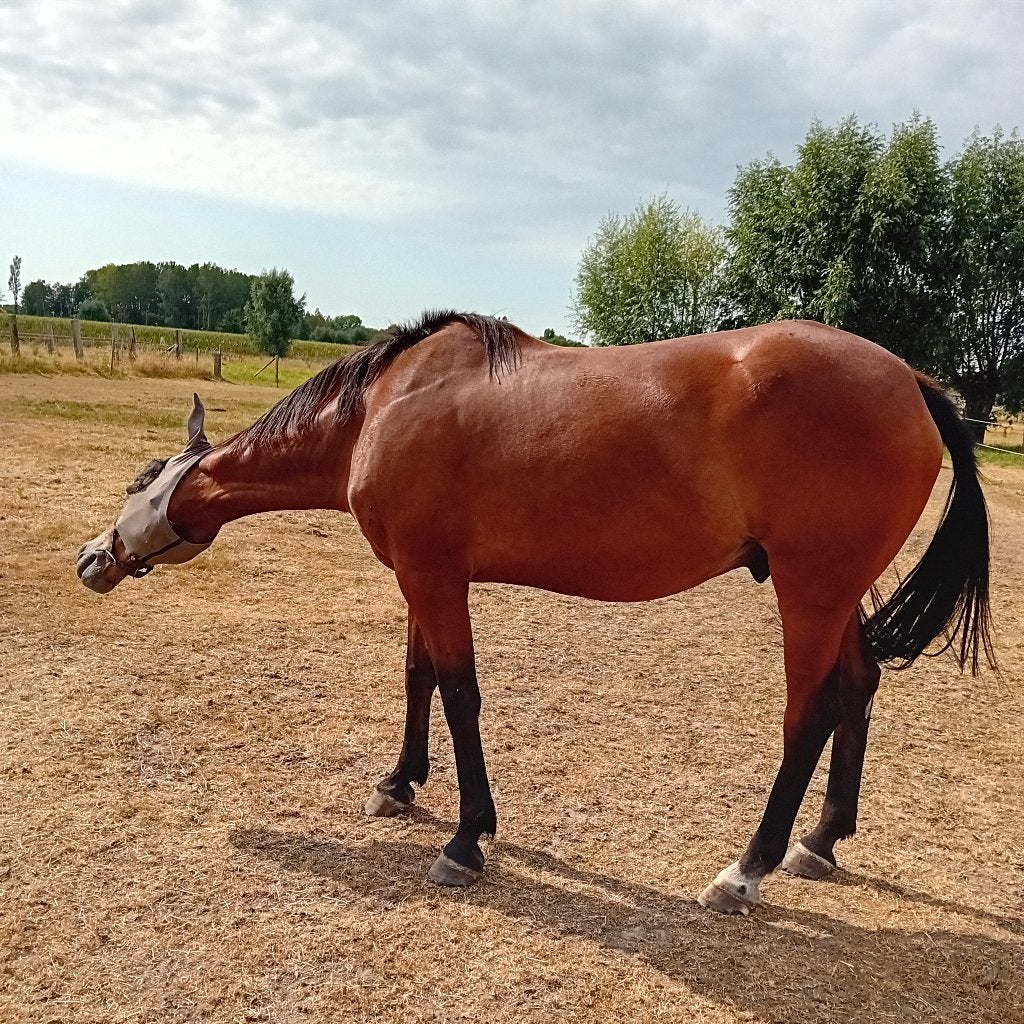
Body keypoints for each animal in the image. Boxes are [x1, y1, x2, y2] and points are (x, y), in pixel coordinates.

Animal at [77, 311, 994, 914]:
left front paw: (465, 841)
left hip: (810, 590)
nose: (93, 560)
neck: (385, 406)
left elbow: (459, 693)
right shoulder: (422, 576)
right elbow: (417, 677)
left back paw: (747, 870)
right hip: (837, 595)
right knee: (860, 688)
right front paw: (399, 784)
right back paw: (822, 842)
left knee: (809, 714)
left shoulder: (436, 578)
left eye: (139, 480)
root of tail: (910, 381)